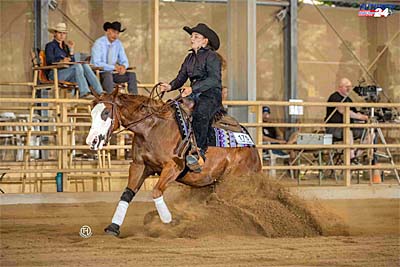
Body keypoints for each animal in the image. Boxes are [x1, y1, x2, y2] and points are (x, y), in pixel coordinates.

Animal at [86, 88, 262, 237]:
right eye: (92, 113)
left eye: (106, 112)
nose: (91, 141)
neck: (153, 127)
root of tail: (253, 151)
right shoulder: (139, 166)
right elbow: (127, 194)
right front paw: (113, 227)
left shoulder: (173, 167)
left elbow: (156, 191)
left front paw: (169, 222)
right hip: (208, 185)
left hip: (234, 182)